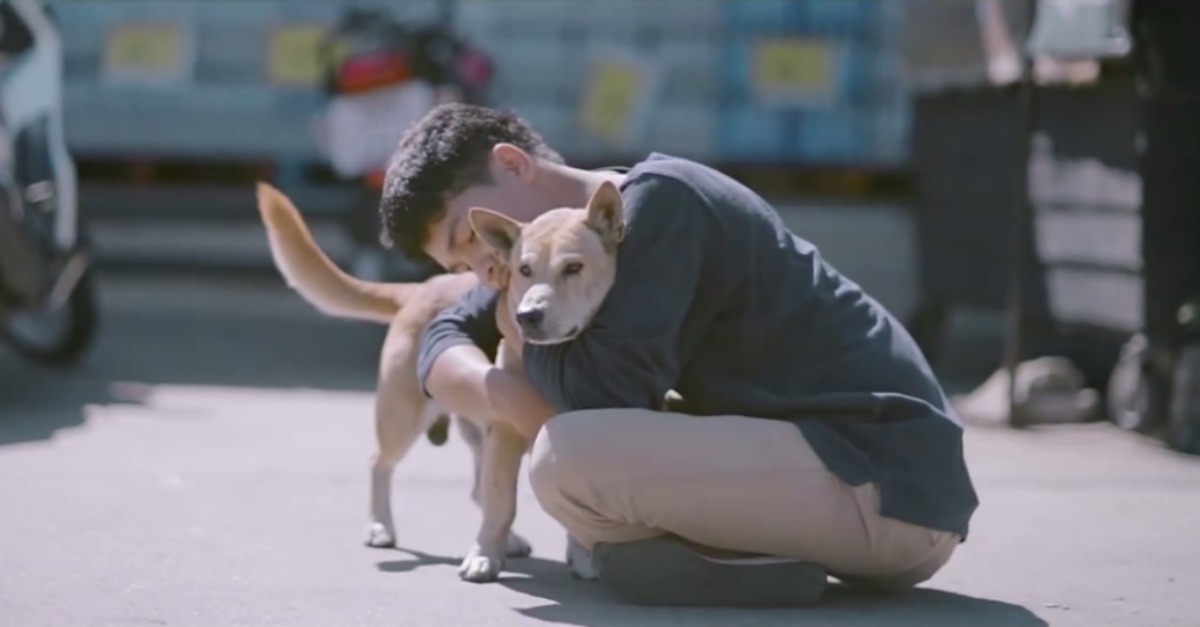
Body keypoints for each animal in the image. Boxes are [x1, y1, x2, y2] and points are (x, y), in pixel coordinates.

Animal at [254, 180, 628, 581]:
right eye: (524, 269)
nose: (527, 316)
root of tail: (423, 288)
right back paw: (380, 525)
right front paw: (483, 555)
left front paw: (583, 555)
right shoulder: (507, 424)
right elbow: (502, 502)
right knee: (381, 462)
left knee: (477, 488)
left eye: (574, 267)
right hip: (403, 415)